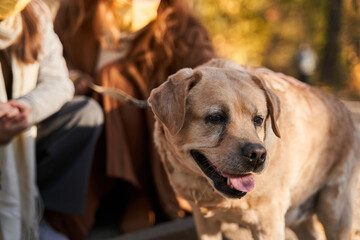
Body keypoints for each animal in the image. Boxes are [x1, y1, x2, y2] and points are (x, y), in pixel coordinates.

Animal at [147, 58, 360, 240]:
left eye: (258, 119)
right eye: (216, 117)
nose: (258, 155)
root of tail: (346, 110)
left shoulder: (268, 221)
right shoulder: (205, 222)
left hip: (335, 210)